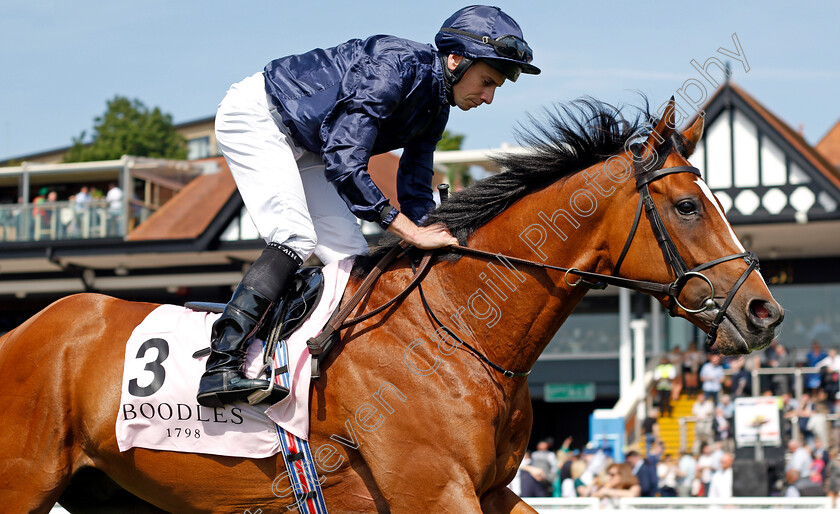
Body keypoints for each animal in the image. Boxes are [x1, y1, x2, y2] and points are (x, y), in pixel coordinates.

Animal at [3, 98, 784, 510]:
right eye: (687, 206)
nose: (764, 313)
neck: (459, 332)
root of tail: (25, 330)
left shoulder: (489, 490)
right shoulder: (432, 491)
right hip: (24, 481)